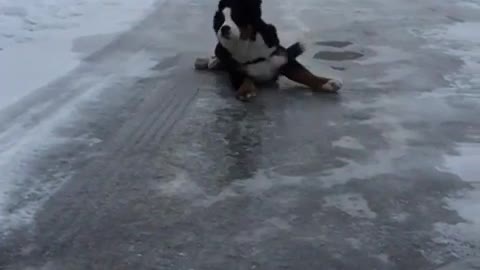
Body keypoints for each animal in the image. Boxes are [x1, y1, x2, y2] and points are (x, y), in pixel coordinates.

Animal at [210, 0, 342, 100]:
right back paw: (214, 62)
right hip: (219, 49)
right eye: (220, 21)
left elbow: (305, 74)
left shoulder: (284, 60)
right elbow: (245, 79)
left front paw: (328, 83)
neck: (247, 46)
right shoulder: (235, 70)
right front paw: (246, 91)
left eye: (237, 18)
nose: (224, 28)